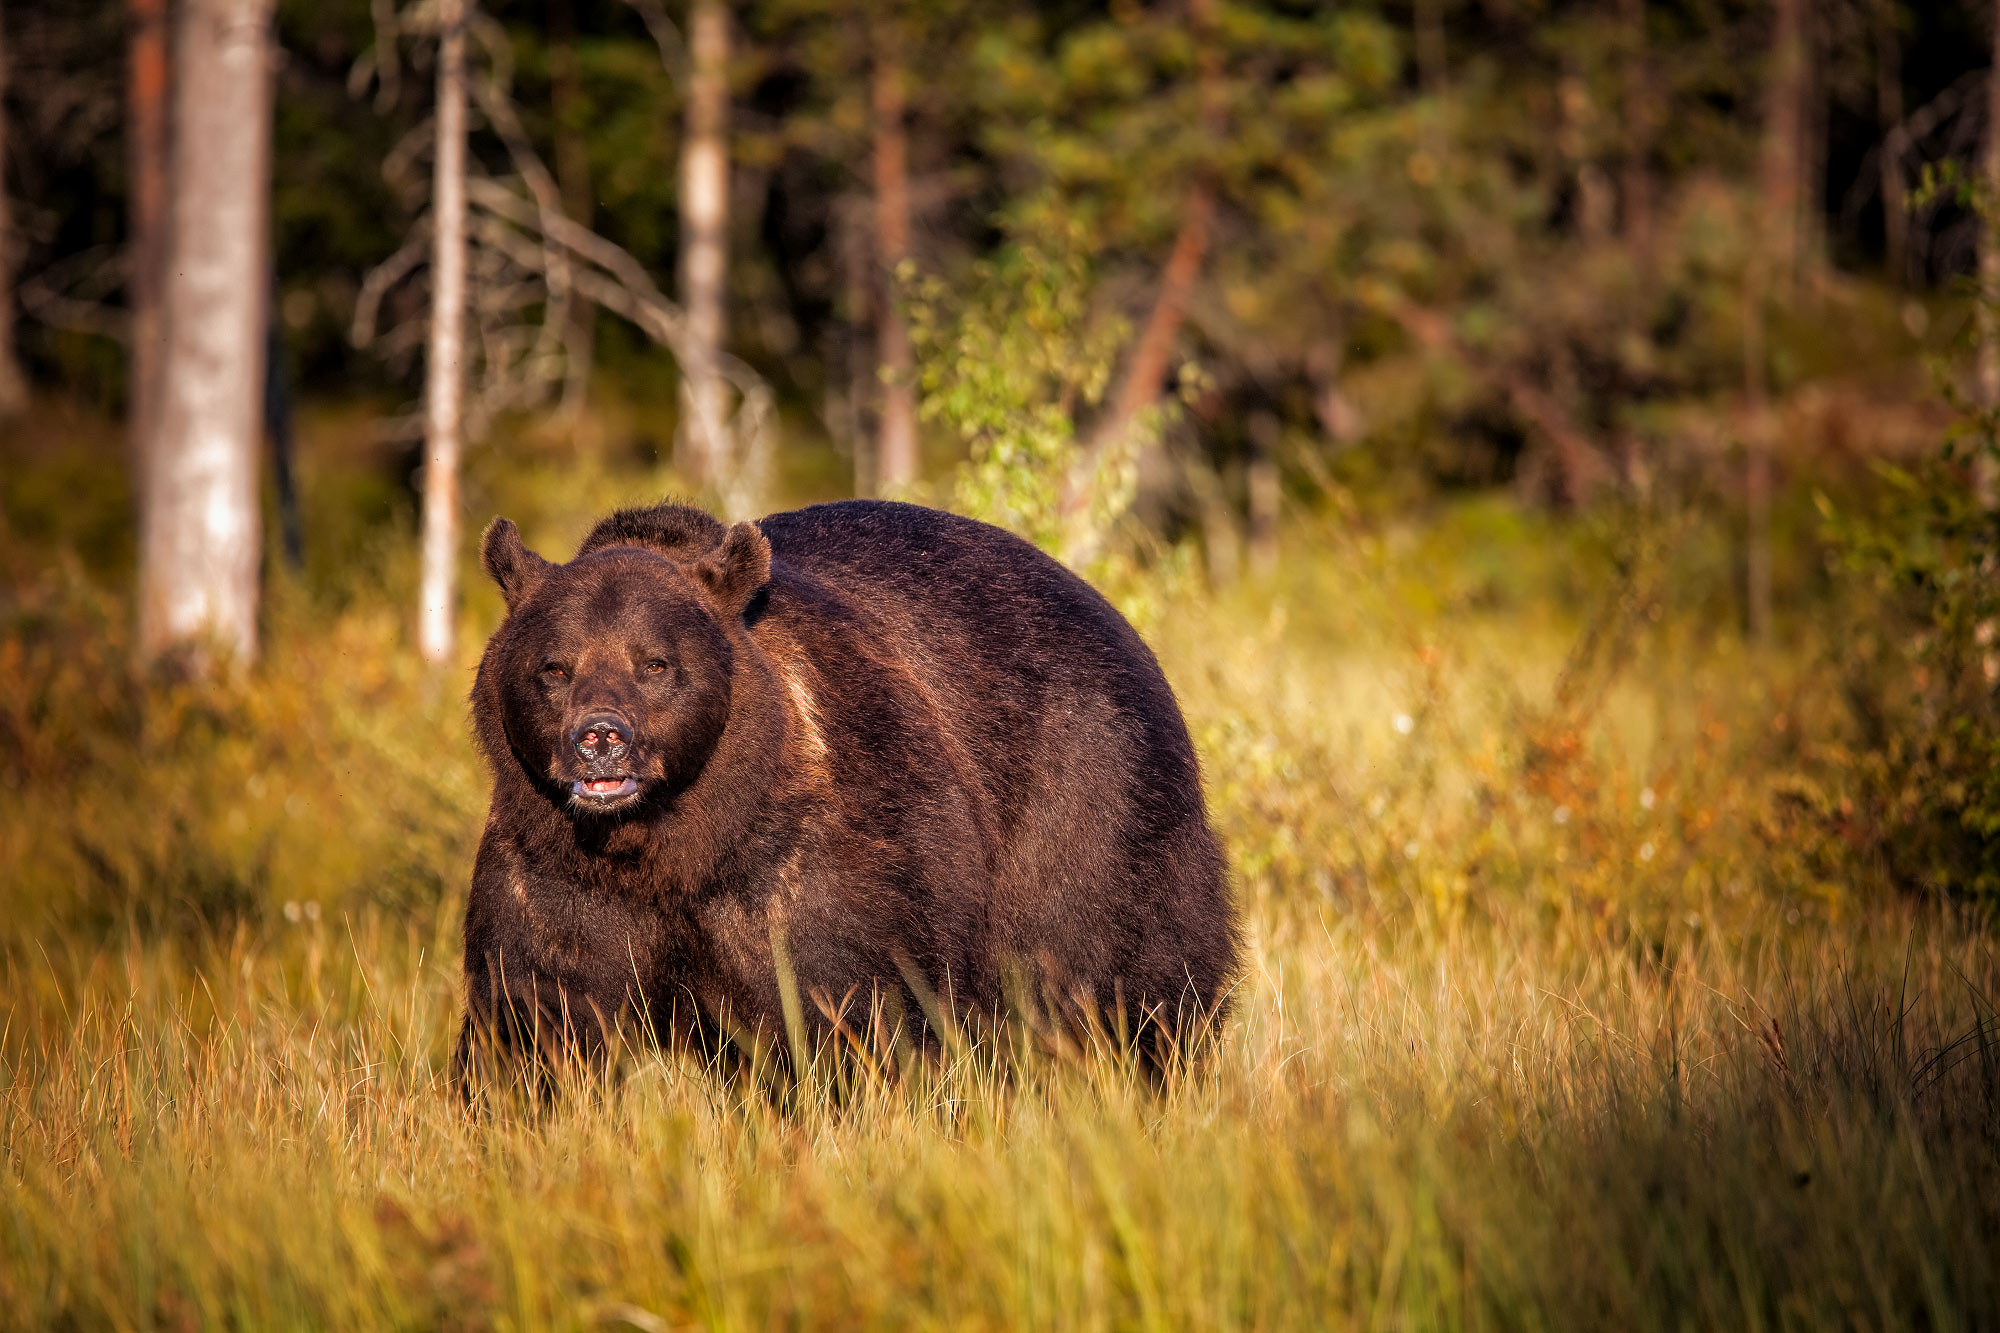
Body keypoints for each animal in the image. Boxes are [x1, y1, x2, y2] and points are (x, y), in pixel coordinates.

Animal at [458, 498, 1232, 1080]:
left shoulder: (818, 850)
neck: (673, 842)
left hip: (1086, 798)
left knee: (1110, 972)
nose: (600, 737)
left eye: (655, 663)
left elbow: (846, 1004)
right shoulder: (555, 869)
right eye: (553, 667)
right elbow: (537, 1016)